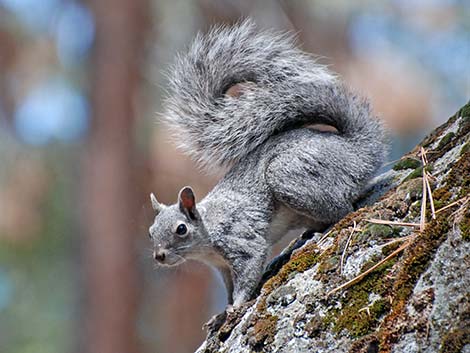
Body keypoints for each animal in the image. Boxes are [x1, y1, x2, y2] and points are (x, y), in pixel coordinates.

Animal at [149, 21, 388, 308]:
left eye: (181, 229)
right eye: (150, 231)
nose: (159, 256)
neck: (206, 234)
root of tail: (356, 150)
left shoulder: (240, 240)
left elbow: (249, 270)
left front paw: (237, 305)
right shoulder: (221, 267)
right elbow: (229, 286)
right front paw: (222, 312)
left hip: (289, 174)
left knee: (344, 208)